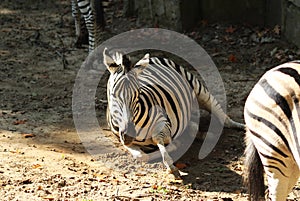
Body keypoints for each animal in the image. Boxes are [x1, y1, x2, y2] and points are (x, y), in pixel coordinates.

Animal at [103, 48, 244, 177]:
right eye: (113, 95)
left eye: (138, 94)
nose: (129, 135)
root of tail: (153, 58)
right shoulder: (120, 138)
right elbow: (141, 156)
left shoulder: (163, 124)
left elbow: (161, 141)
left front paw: (170, 163)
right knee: (193, 125)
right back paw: (203, 134)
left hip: (198, 89)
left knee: (223, 117)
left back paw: (241, 126)